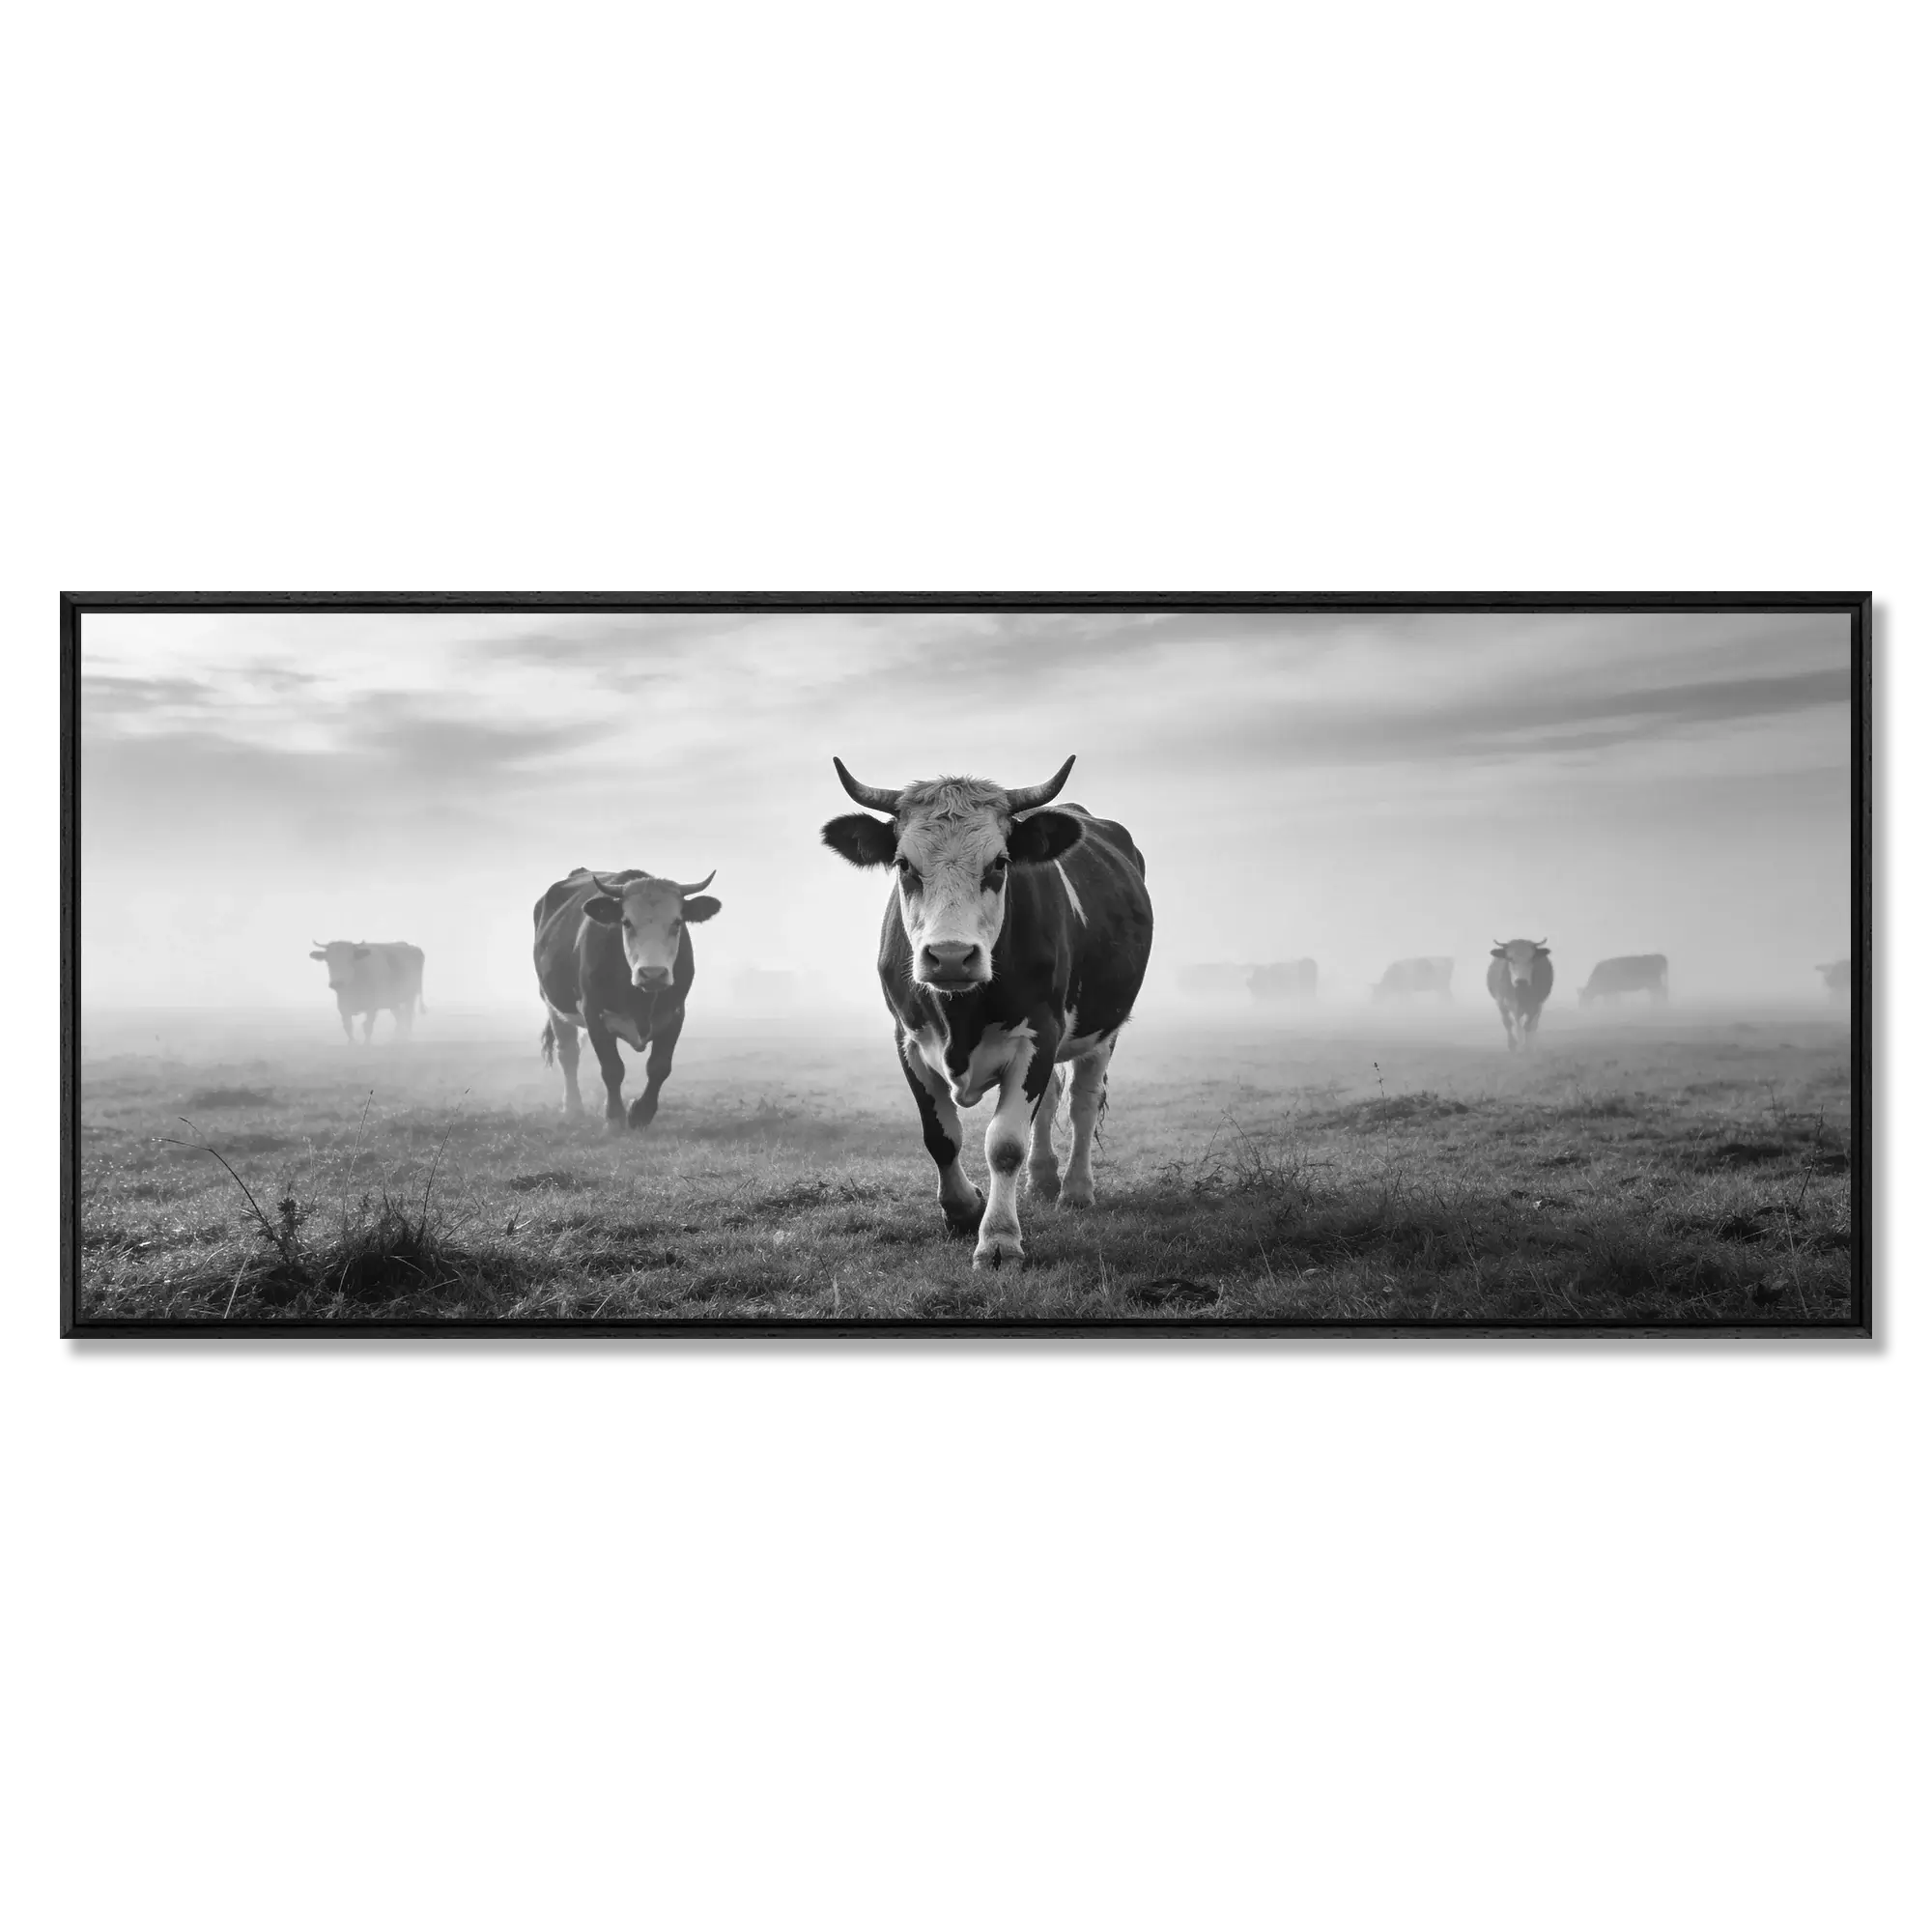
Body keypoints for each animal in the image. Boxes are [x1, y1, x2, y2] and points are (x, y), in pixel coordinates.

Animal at [532, 866, 722, 1131]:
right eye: (626, 922)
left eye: (677, 922)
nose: (652, 973)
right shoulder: (594, 1014)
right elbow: (612, 1068)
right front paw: (614, 1117)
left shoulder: (675, 1014)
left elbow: (659, 1067)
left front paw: (640, 1113)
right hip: (554, 1005)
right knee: (568, 1054)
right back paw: (573, 1108)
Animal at [821, 755, 1153, 1270]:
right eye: (903, 864)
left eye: (1000, 862)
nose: (951, 956)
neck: (960, 1017)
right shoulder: (908, 1040)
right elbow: (941, 1137)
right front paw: (962, 1210)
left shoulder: (1039, 1033)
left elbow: (1005, 1144)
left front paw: (998, 1239)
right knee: (1051, 1099)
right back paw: (1043, 1179)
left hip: (1104, 1028)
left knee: (1082, 1101)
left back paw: (1075, 1189)